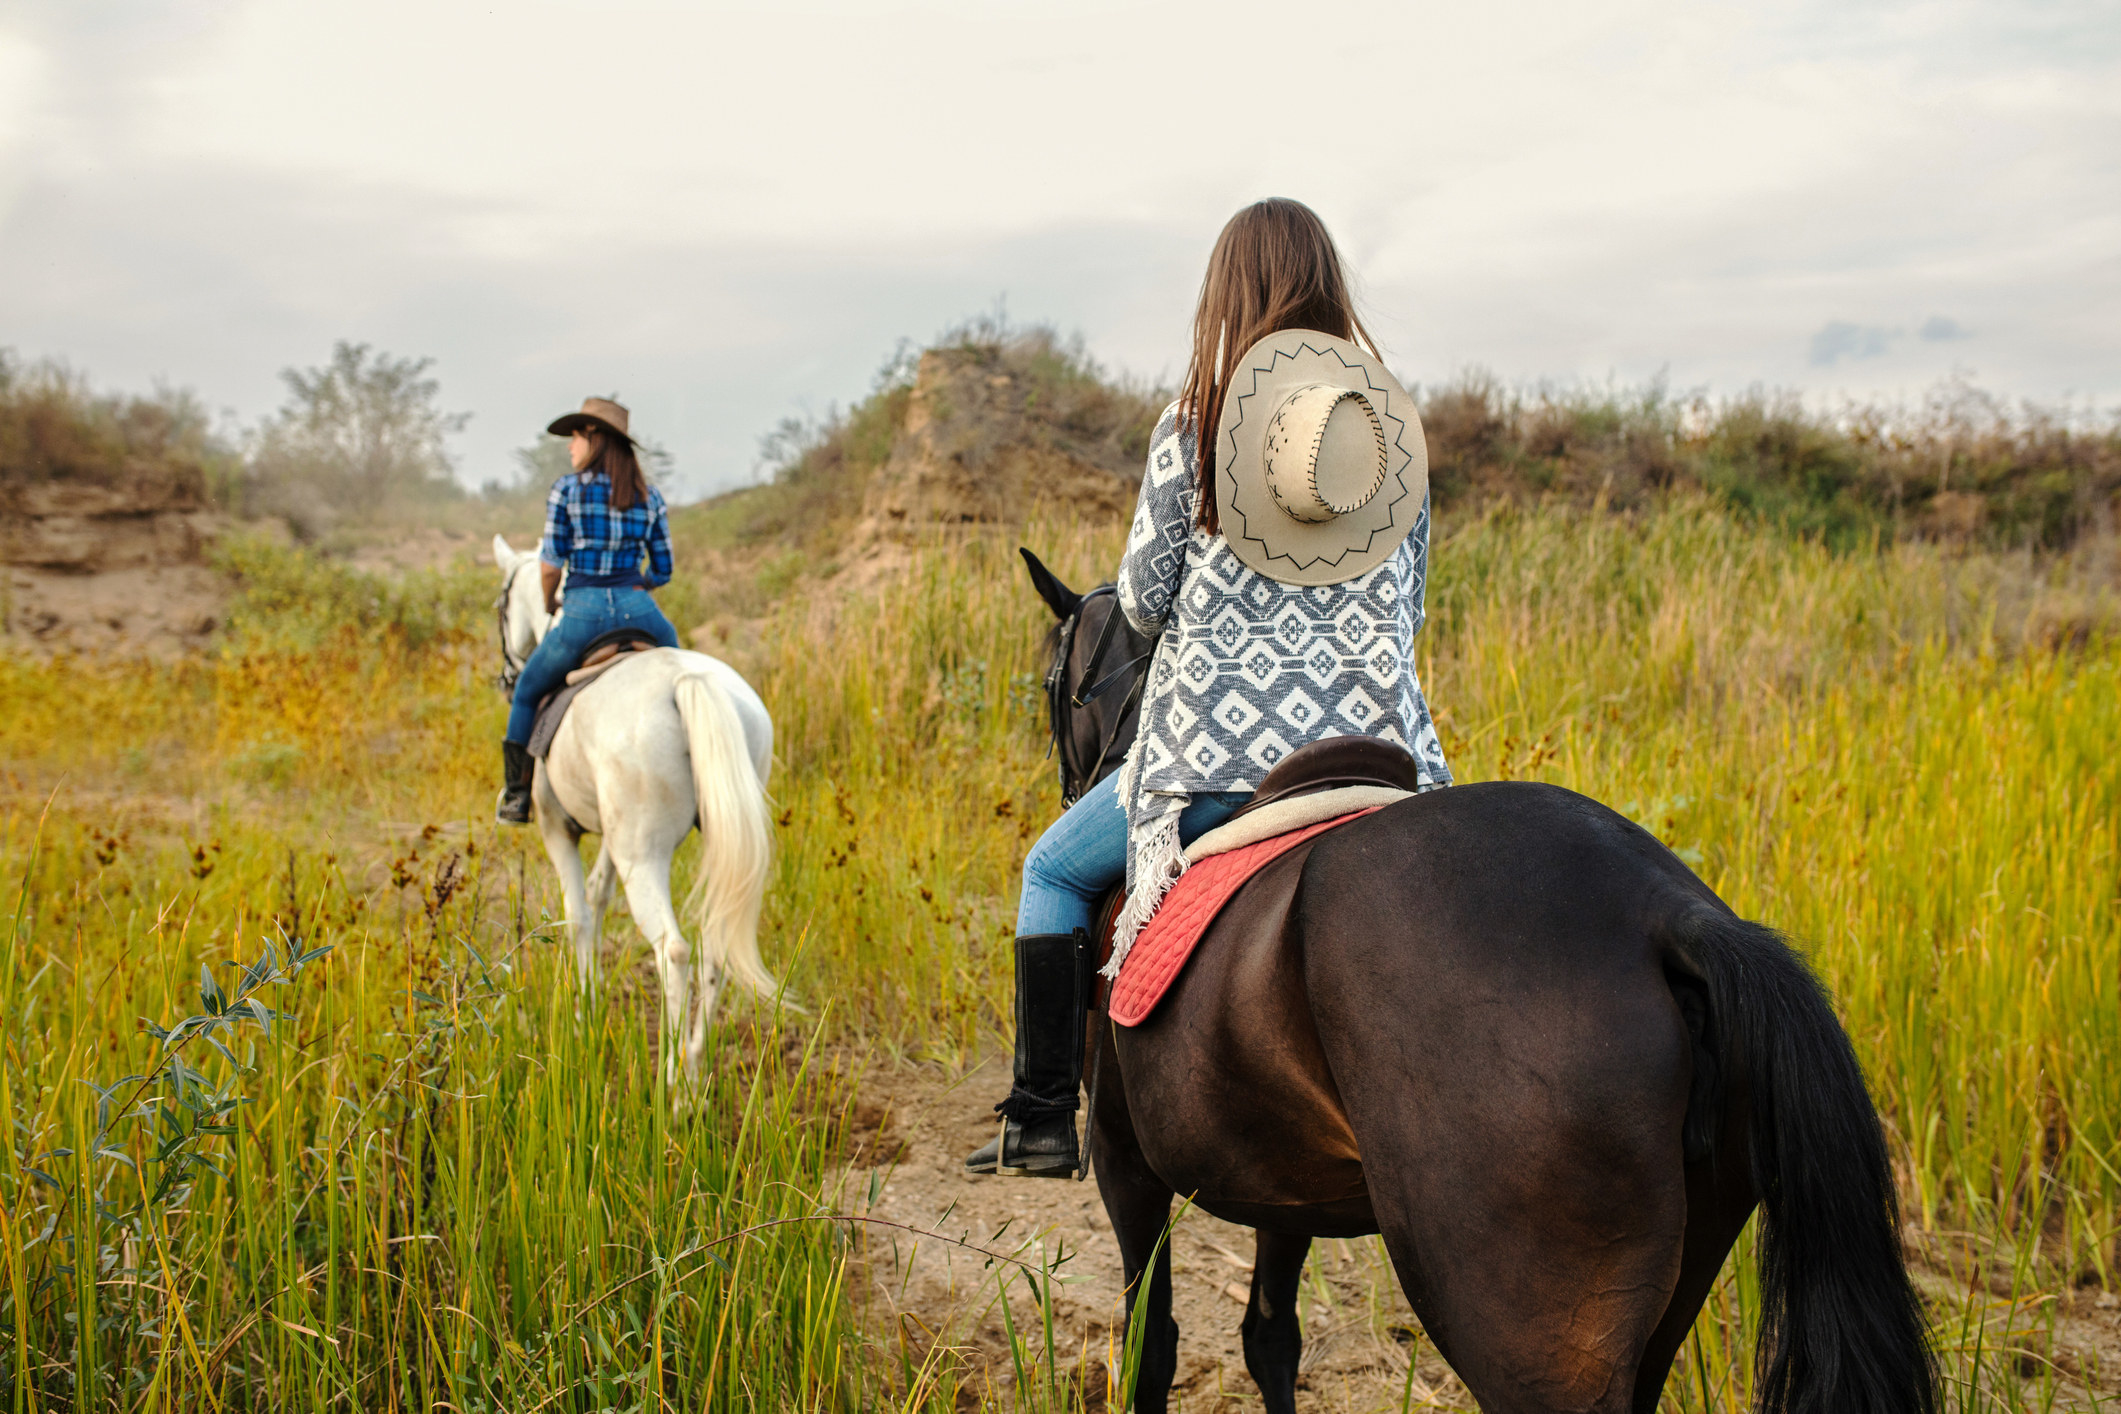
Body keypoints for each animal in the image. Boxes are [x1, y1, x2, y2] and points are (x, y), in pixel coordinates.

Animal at [487, 534, 780, 1085]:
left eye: (501, 604)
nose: (508, 675)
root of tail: (687, 681)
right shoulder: (609, 835)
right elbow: (599, 894)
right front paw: (593, 996)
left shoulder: (559, 829)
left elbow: (578, 914)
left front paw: (582, 1015)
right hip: (674, 844)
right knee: (714, 947)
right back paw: (694, 1068)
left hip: (642, 858)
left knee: (674, 951)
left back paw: (674, 1081)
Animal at [1022, 551, 1942, 1414]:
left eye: (1047, 680)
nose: (1076, 782)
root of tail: (1669, 914)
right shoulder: (1284, 1186)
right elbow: (1268, 1339)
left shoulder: (1125, 1162)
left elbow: (1153, 1346)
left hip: (1523, 1326)